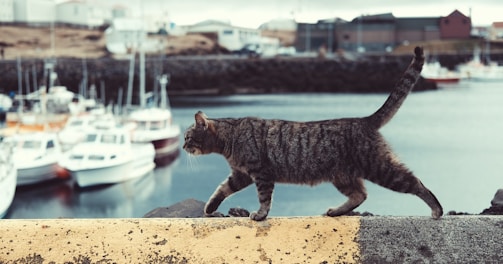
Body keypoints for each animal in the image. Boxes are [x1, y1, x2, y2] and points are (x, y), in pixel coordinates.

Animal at [183, 47, 442, 221]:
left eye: (187, 137)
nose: (183, 147)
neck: (231, 137)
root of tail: (364, 120)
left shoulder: (261, 173)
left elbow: (264, 198)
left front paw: (260, 214)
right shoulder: (241, 175)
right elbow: (221, 189)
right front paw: (210, 207)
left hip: (380, 168)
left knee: (414, 182)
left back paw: (436, 209)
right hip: (343, 177)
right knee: (360, 195)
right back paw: (336, 211)